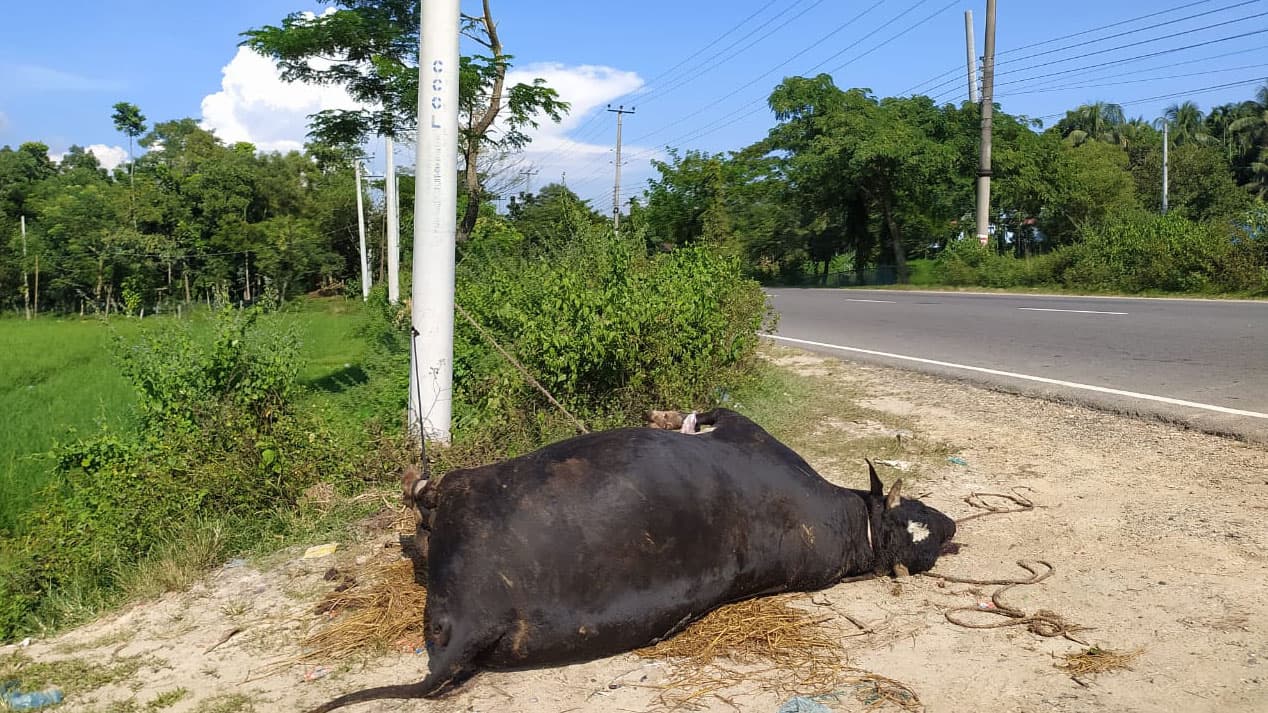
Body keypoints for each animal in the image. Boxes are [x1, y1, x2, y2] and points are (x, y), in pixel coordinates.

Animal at [311, 408, 953, 705]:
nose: (951, 527)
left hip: (465, 495)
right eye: (916, 508)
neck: (848, 526)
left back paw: (416, 498)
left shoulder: (736, 423)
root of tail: (476, 621)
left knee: (430, 508)